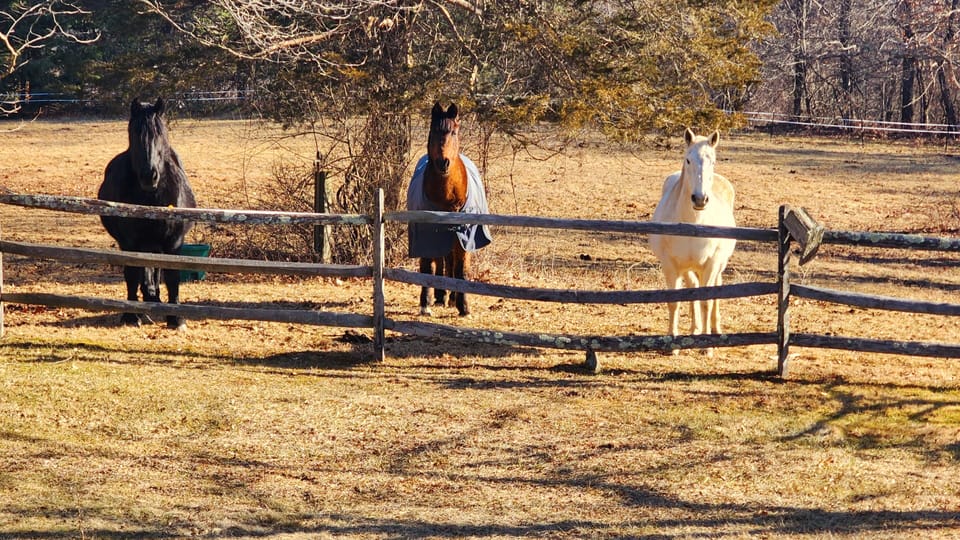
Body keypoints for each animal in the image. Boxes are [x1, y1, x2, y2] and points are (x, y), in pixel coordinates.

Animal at [98, 97, 197, 330]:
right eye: (134, 133)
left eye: (160, 133)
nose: (149, 176)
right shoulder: (129, 242)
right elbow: (132, 274)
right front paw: (131, 316)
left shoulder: (173, 242)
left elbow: (172, 276)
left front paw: (176, 318)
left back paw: (155, 298)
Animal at [407, 102, 492, 317]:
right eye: (433, 131)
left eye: (454, 132)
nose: (442, 162)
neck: (447, 195)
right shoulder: (426, 233)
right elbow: (427, 267)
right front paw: (425, 303)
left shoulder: (465, 235)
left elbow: (461, 269)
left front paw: (464, 306)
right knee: (440, 261)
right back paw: (439, 296)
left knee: (451, 262)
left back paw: (451, 298)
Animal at [648, 128, 736, 356]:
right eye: (688, 160)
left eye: (713, 161)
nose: (700, 199)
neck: (694, 223)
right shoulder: (671, 265)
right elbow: (675, 302)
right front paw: (672, 343)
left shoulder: (712, 264)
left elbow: (706, 301)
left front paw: (707, 347)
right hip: (689, 268)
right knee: (693, 287)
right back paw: (694, 329)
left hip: (718, 265)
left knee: (715, 291)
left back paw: (714, 329)